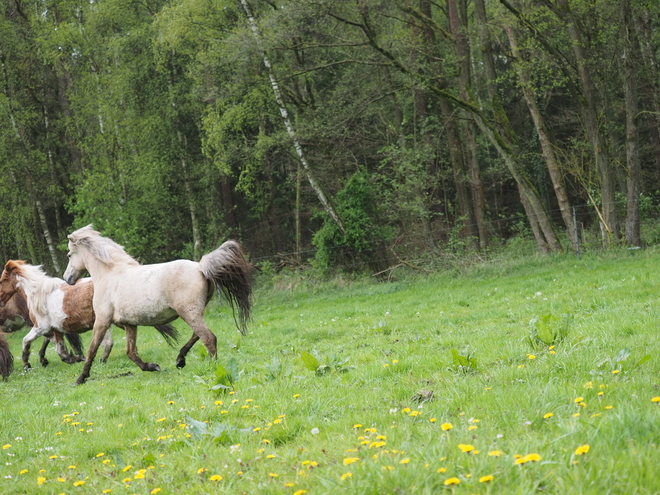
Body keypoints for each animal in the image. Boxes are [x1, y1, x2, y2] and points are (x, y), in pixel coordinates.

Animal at [0, 260, 180, 372]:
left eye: (1, 280)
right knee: (109, 342)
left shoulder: (41, 327)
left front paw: (27, 364)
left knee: (110, 342)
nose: (0, 301)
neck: (38, 294)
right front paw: (76, 358)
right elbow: (61, 352)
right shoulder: (55, 330)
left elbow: (25, 342)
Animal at [63, 227, 251, 386]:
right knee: (197, 335)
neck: (110, 275)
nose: (67, 279)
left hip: (189, 313)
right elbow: (131, 352)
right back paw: (180, 360)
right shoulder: (129, 324)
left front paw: (80, 379)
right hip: (193, 313)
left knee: (208, 338)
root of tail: (200, 267)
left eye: (70, 254)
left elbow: (92, 350)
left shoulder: (102, 321)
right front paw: (152, 367)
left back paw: (212, 366)